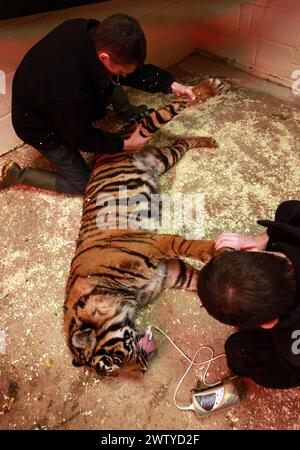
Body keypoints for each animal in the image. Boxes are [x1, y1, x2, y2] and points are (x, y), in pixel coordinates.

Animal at [64, 77, 224, 376]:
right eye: (113, 369)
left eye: (113, 360)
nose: (143, 368)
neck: (125, 297)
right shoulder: (168, 272)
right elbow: (196, 279)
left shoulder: (154, 243)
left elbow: (187, 245)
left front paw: (216, 251)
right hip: (164, 158)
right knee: (183, 140)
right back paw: (207, 140)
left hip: (146, 130)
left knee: (173, 105)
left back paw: (209, 88)